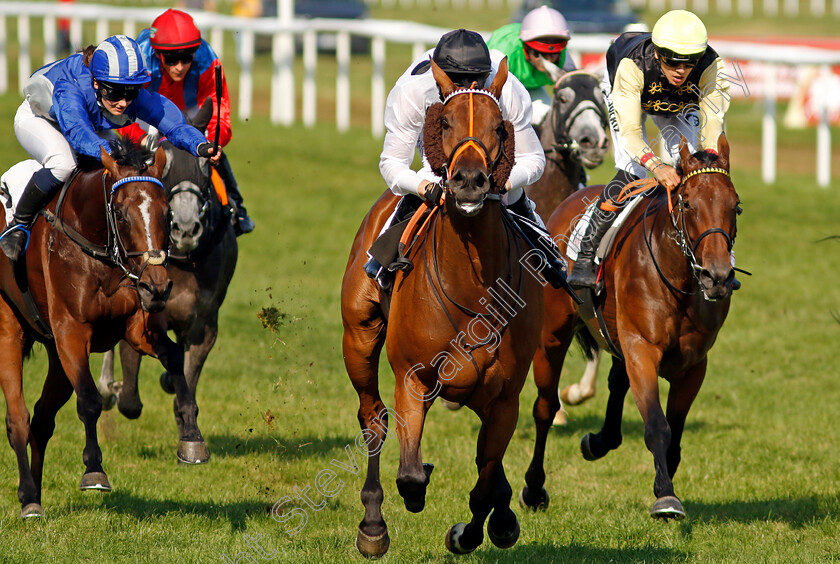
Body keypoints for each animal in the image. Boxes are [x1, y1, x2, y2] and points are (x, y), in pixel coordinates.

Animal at [0, 139, 208, 516]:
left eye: (165, 212)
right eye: (122, 214)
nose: (158, 287)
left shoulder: (137, 328)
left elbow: (173, 356)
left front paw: (191, 437)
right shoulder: (71, 332)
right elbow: (90, 400)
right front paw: (94, 470)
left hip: (56, 358)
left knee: (42, 419)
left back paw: (34, 493)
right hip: (9, 329)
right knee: (18, 418)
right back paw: (28, 498)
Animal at [97, 133, 238, 418]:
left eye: (206, 167)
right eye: (168, 167)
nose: (186, 228)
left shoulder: (203, 325)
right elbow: (130, 401)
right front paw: (116, 389)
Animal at [342, 56, 544, 556]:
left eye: (499, 126)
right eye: (445, 121)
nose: (469, 181)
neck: (471, 281)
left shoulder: (505, 396)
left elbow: (485, 483)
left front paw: (474, 530)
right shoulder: (413, 378)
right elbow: (411, 474)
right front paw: (412, 497)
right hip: (359, 337)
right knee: (373, 419)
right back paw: (372, 524)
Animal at [520, 133, 740, 520]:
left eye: (736, 206)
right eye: (687, 203)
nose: (717, 277)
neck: (678, 278)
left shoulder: (694, 365)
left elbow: (675, 432)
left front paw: (663, 481)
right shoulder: (642, 349)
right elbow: (657, 425)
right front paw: (666, 496)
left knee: (615, 381)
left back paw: (598, 441)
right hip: (551, 338)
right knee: (544, 409)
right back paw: (534, 488)